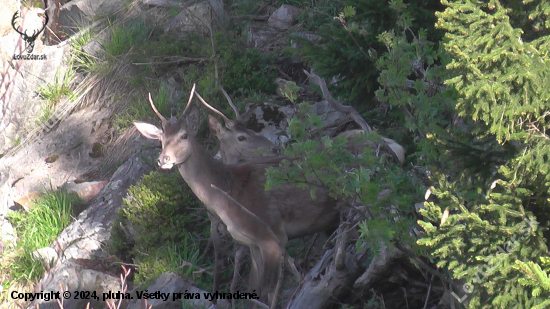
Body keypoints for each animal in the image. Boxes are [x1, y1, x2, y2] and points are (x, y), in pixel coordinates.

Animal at [134, 85, 340, 306]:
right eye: (161, 140)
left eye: (184, 135)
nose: (163, 159)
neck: (230, 190)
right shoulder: (251, 242)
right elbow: (253, 290)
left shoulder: (271, 235)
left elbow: (266, 293)